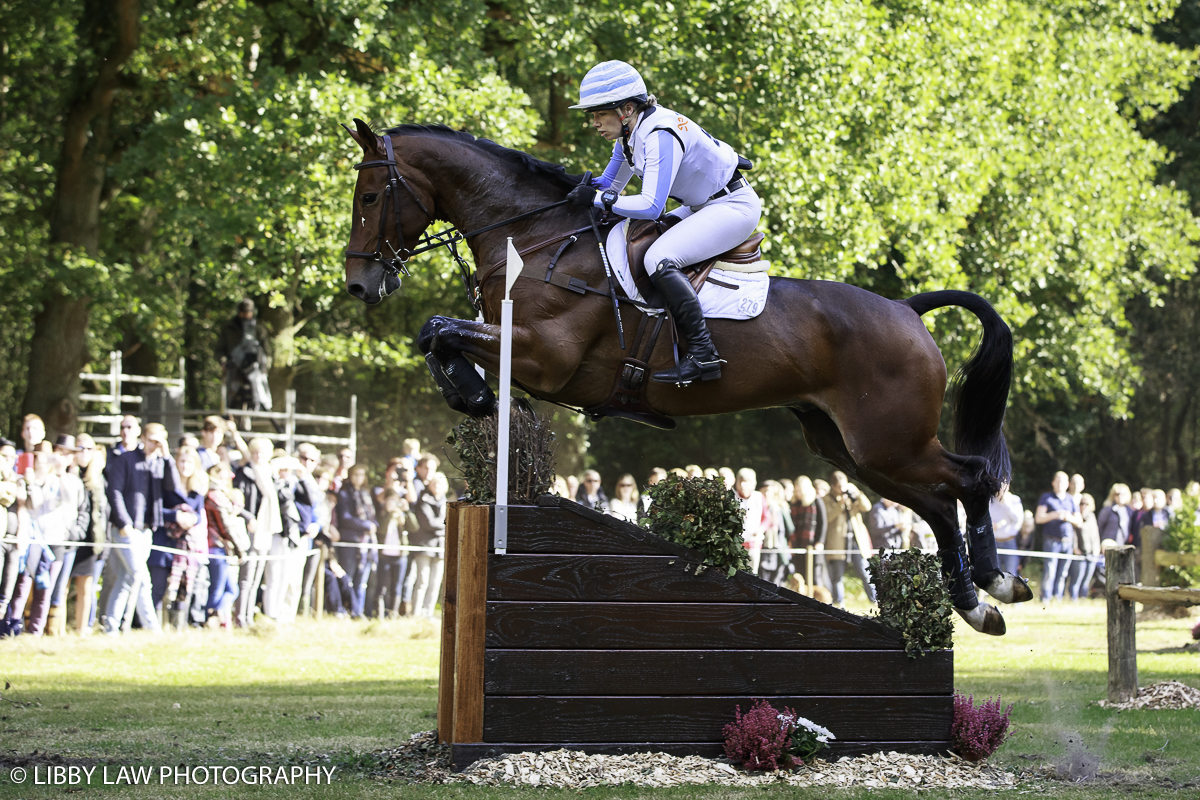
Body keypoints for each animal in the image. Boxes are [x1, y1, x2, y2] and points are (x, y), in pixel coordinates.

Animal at [340, 118, 1032, 633]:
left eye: (370, 198)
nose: (360, 284)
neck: (537, 241)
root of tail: (906, 310)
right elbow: (435, 331)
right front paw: (475, 396)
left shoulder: (545, 359)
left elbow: (440, 329)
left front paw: (474, 392)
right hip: (850, 448)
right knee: (937, 502)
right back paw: (981, 599)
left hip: (889, 441)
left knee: (968, 481)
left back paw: (993, 587)